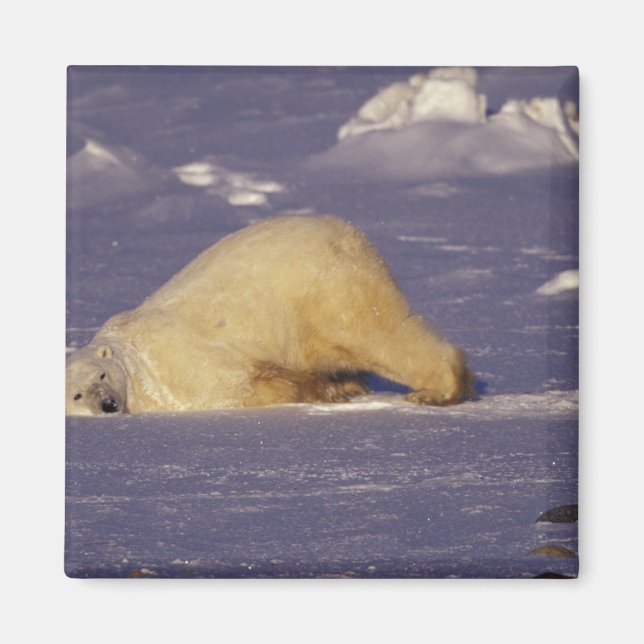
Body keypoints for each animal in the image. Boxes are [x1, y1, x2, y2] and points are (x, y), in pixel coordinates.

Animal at [66, 215, 474, 415]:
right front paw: (333, 389)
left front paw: (319, 391)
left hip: (324, 287)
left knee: (375, 335)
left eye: (102, 374)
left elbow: (249, 383)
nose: (108, 404)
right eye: (76, 395)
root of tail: (344, 229)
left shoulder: (177, 370)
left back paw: (434, 391)